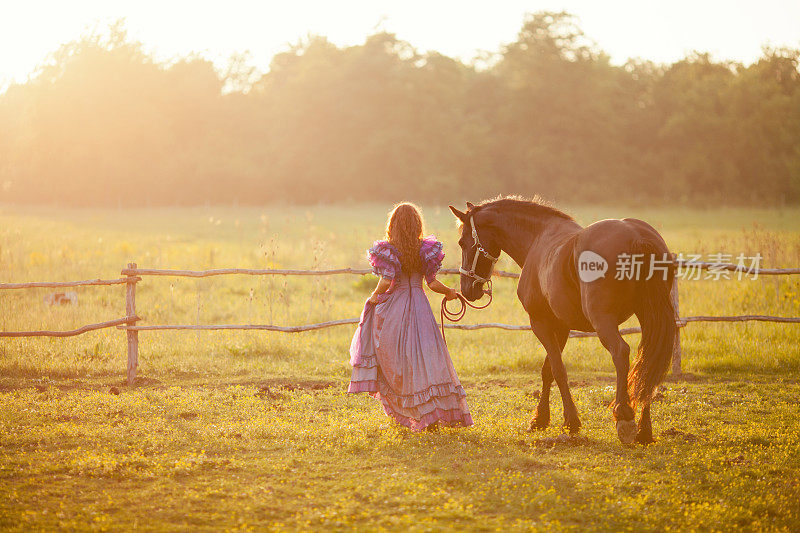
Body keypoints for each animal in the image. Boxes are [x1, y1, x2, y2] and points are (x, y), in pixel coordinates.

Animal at [450, 197, 676, 442]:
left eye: (462, 242)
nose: (467, 289)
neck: (537, 239)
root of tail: (636, 236)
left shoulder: (541, 323)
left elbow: (557, 369)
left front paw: (570, 421)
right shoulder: (562, 327)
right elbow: (548, 370)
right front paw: (540, 420)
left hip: (603, 321)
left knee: (621, 353)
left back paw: (624, 417)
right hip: (649, 318)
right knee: (647, 361)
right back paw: (644, 430)